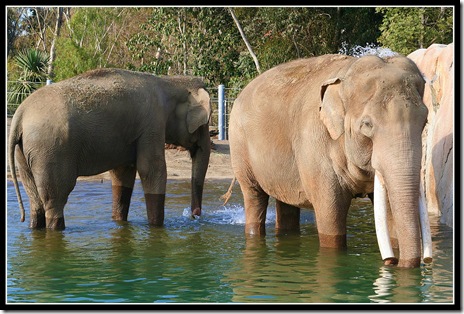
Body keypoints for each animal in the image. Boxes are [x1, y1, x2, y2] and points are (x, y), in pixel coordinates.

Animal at [8, 68, 211, 231]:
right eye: (204, 124)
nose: (194, 215)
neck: (169, 82)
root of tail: (20, 113)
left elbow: (123, 173)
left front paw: (120, 222)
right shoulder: (152, 125)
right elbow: (151, 170)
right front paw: (157, 228)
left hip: (25, 152)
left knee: (35, 200)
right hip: (50, 149)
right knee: (56, 198)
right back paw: (56, 230)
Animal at [230, 53, 434, 268]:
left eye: (425, 121)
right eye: (367, 125)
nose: (391, 262)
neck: (346, 74)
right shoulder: (315, 145)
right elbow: (331, 214)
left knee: (286, 203)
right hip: (239, 147)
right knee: (254, 196)